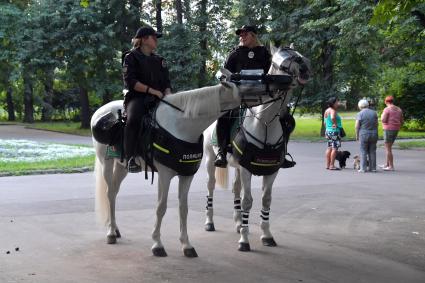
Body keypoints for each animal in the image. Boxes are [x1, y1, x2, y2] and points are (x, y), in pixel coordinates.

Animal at [90, 81, 256, 258]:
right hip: (106, 163)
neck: (181, 125)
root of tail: (101, 111)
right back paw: (111, 233)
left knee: (114, 192)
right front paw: (157, 244)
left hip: (122, 167)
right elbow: (161, 207)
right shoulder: (164, 175)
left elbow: (183, 208)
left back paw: (114, 228)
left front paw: (186, 245)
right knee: (109, 193)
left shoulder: (186, 175)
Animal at [202, 45, 308, 252]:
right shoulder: (246, 169)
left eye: (298, 55)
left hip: (236, 167)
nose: (304, 69)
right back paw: (210, 222)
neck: (265, 122)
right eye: (279, 62)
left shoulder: (271, 171)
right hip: (211, 161)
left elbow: (266, 200)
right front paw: (244, 240)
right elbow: (247, 201)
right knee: (211, 187)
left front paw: (266, 235)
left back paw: (237, 222)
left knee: (236, 189)